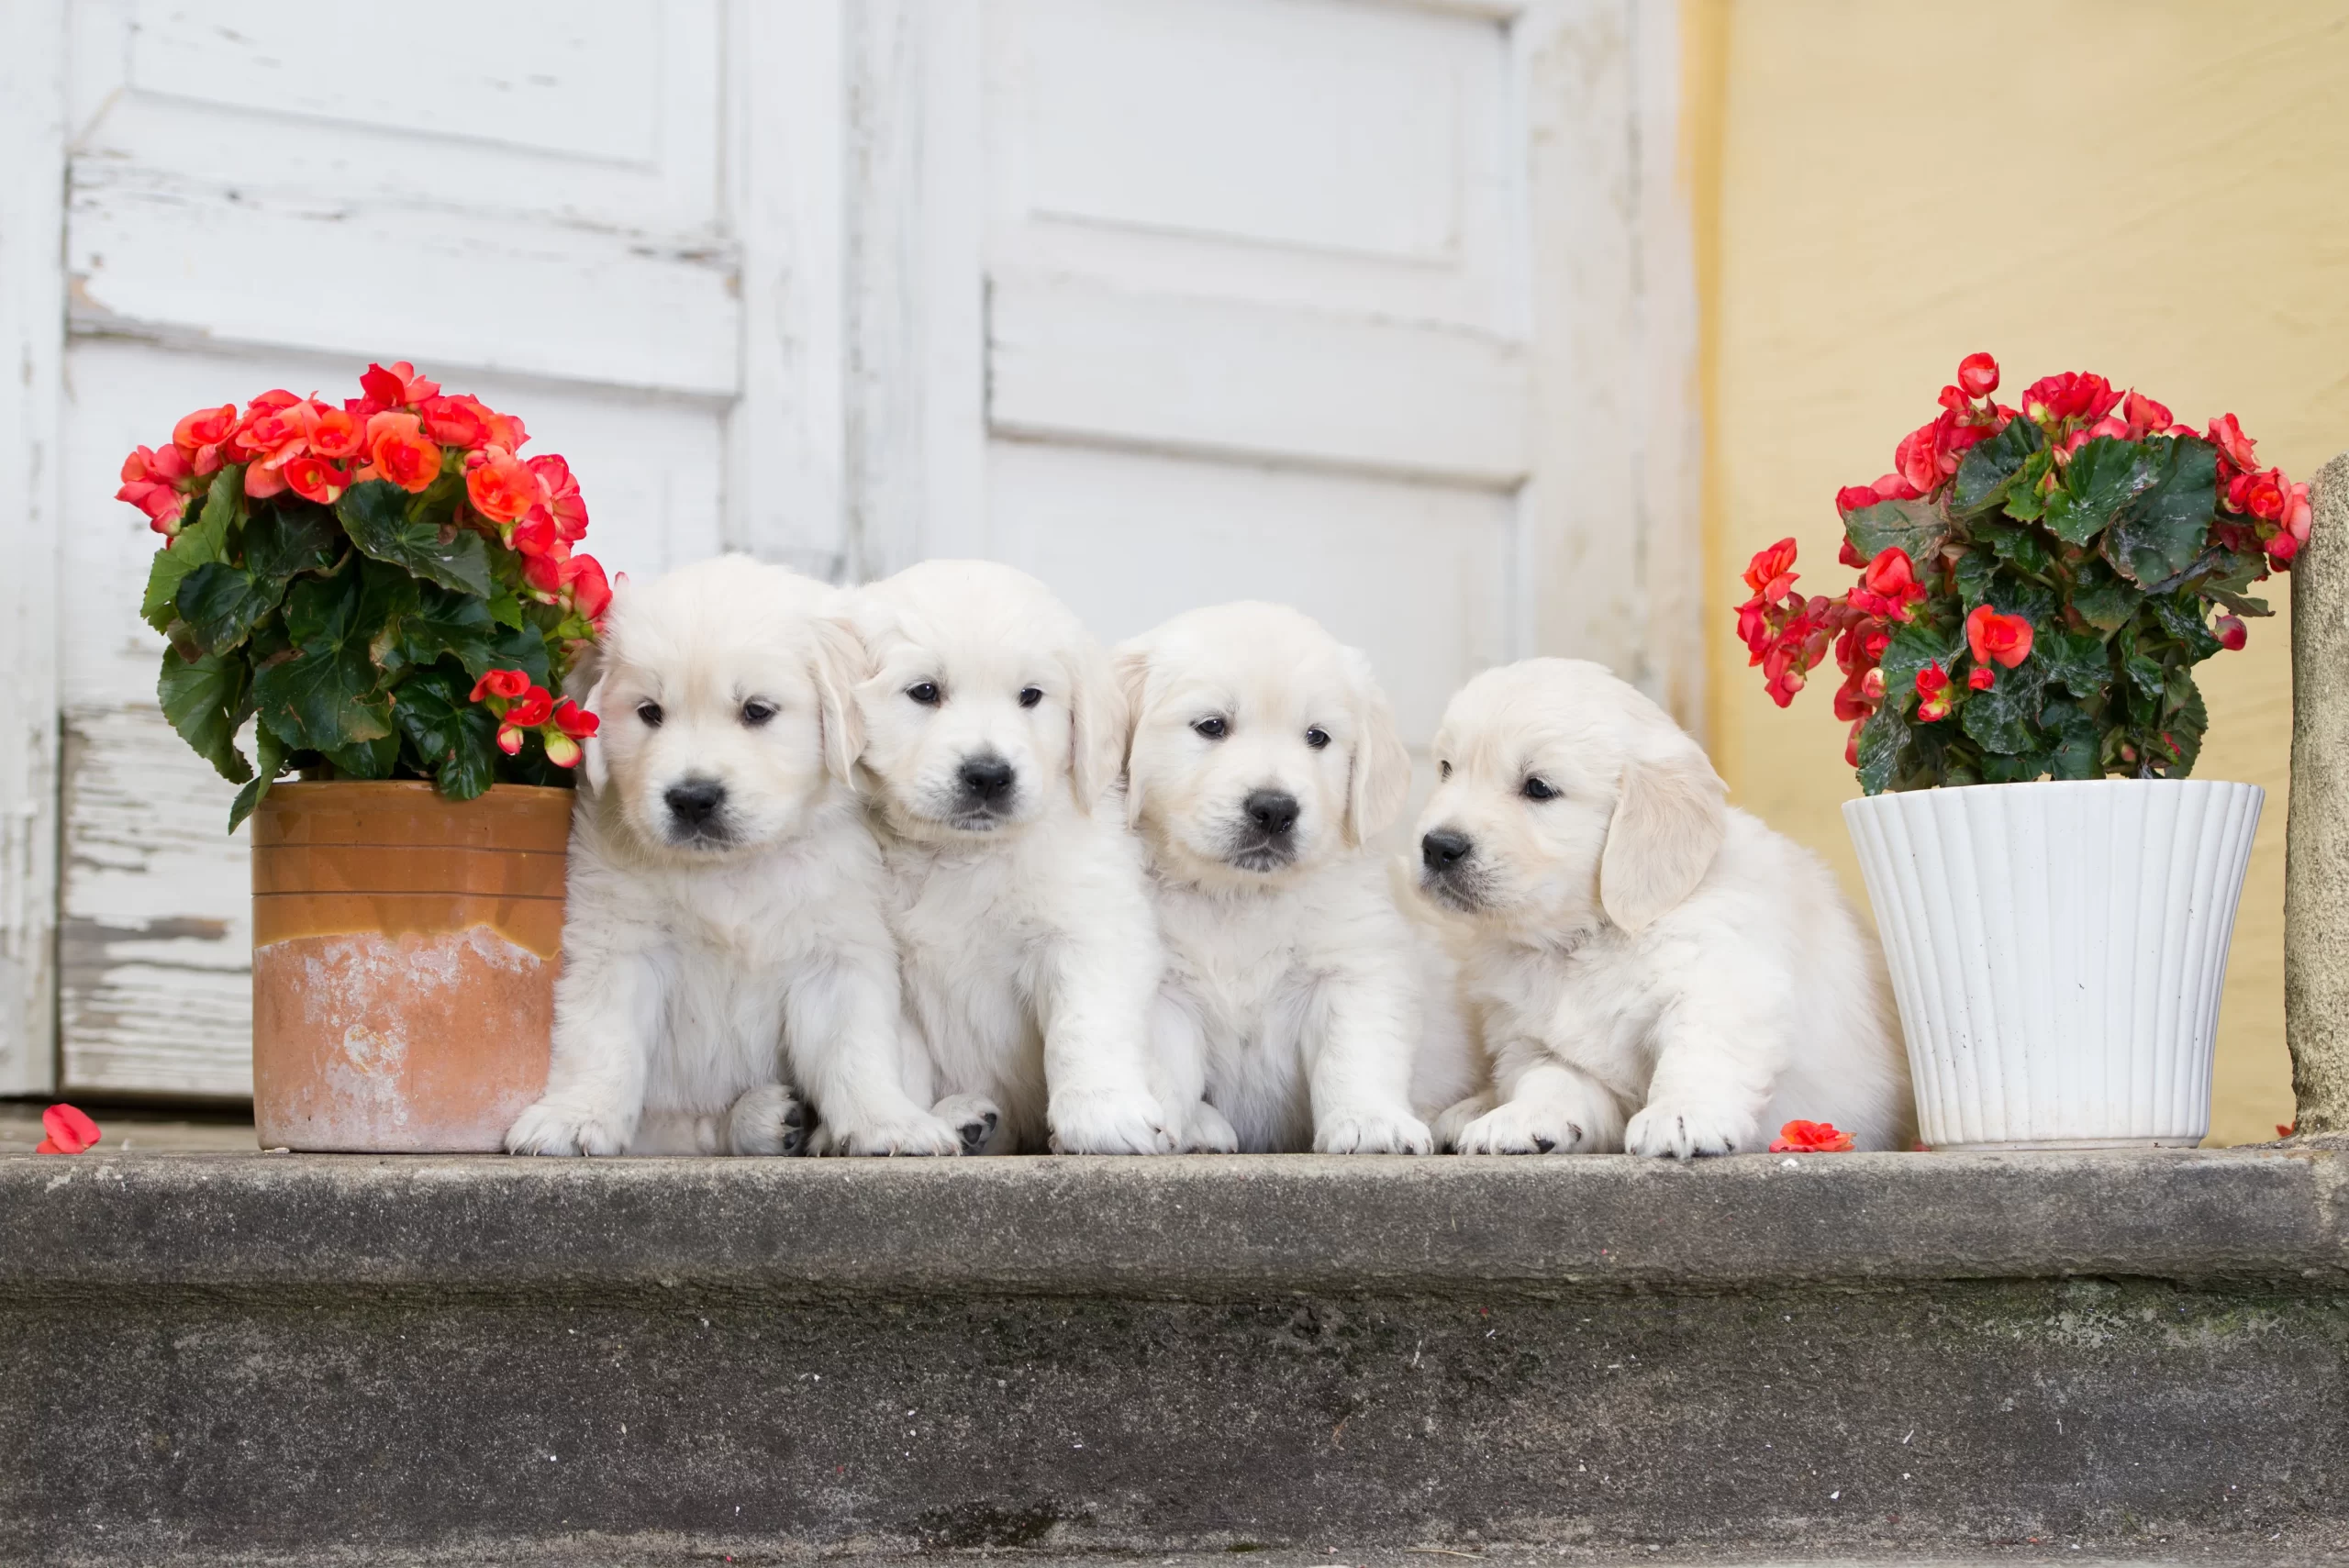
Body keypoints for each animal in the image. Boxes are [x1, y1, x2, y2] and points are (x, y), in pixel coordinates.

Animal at [505, 556, 972, 1159]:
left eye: (756, 711)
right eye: (650, 712)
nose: (692, 798)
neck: (733, 869)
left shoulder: (838, 949)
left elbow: (855, 1048)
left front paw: (887, 1123)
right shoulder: (620, 944)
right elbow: (602, 1038)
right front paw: (575, 1117)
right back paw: (763, 1118)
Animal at [841, 561, 1174, 1150]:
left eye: (1031, 696)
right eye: (924, 691)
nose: (988, 775)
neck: (961, 855)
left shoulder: (1088, 927)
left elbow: (1085, 1026)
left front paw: (1102, 1115)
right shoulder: (890, 968)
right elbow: (900, 1056)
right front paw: (911, 1123)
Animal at [1113, 600, 1465, 1150]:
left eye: (1317, 737)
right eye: (1211, 726)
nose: (1275, 809)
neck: (1239, 897)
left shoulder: (1356, 967)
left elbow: (1355, 1054)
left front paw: (1371, 1122)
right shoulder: (1163, 986)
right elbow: (1167, 1065)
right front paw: (1171, 1126)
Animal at [1409, 657, 1907, 1159]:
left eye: (1538, 788)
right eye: (1446, 769)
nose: (1437, 846)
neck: (1589, 937)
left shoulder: (1723, 981)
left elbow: (1697, 1051)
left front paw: (1681, 1115)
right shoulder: (1538, 1042)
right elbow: (1550, 1079)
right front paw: (1520, 1119)